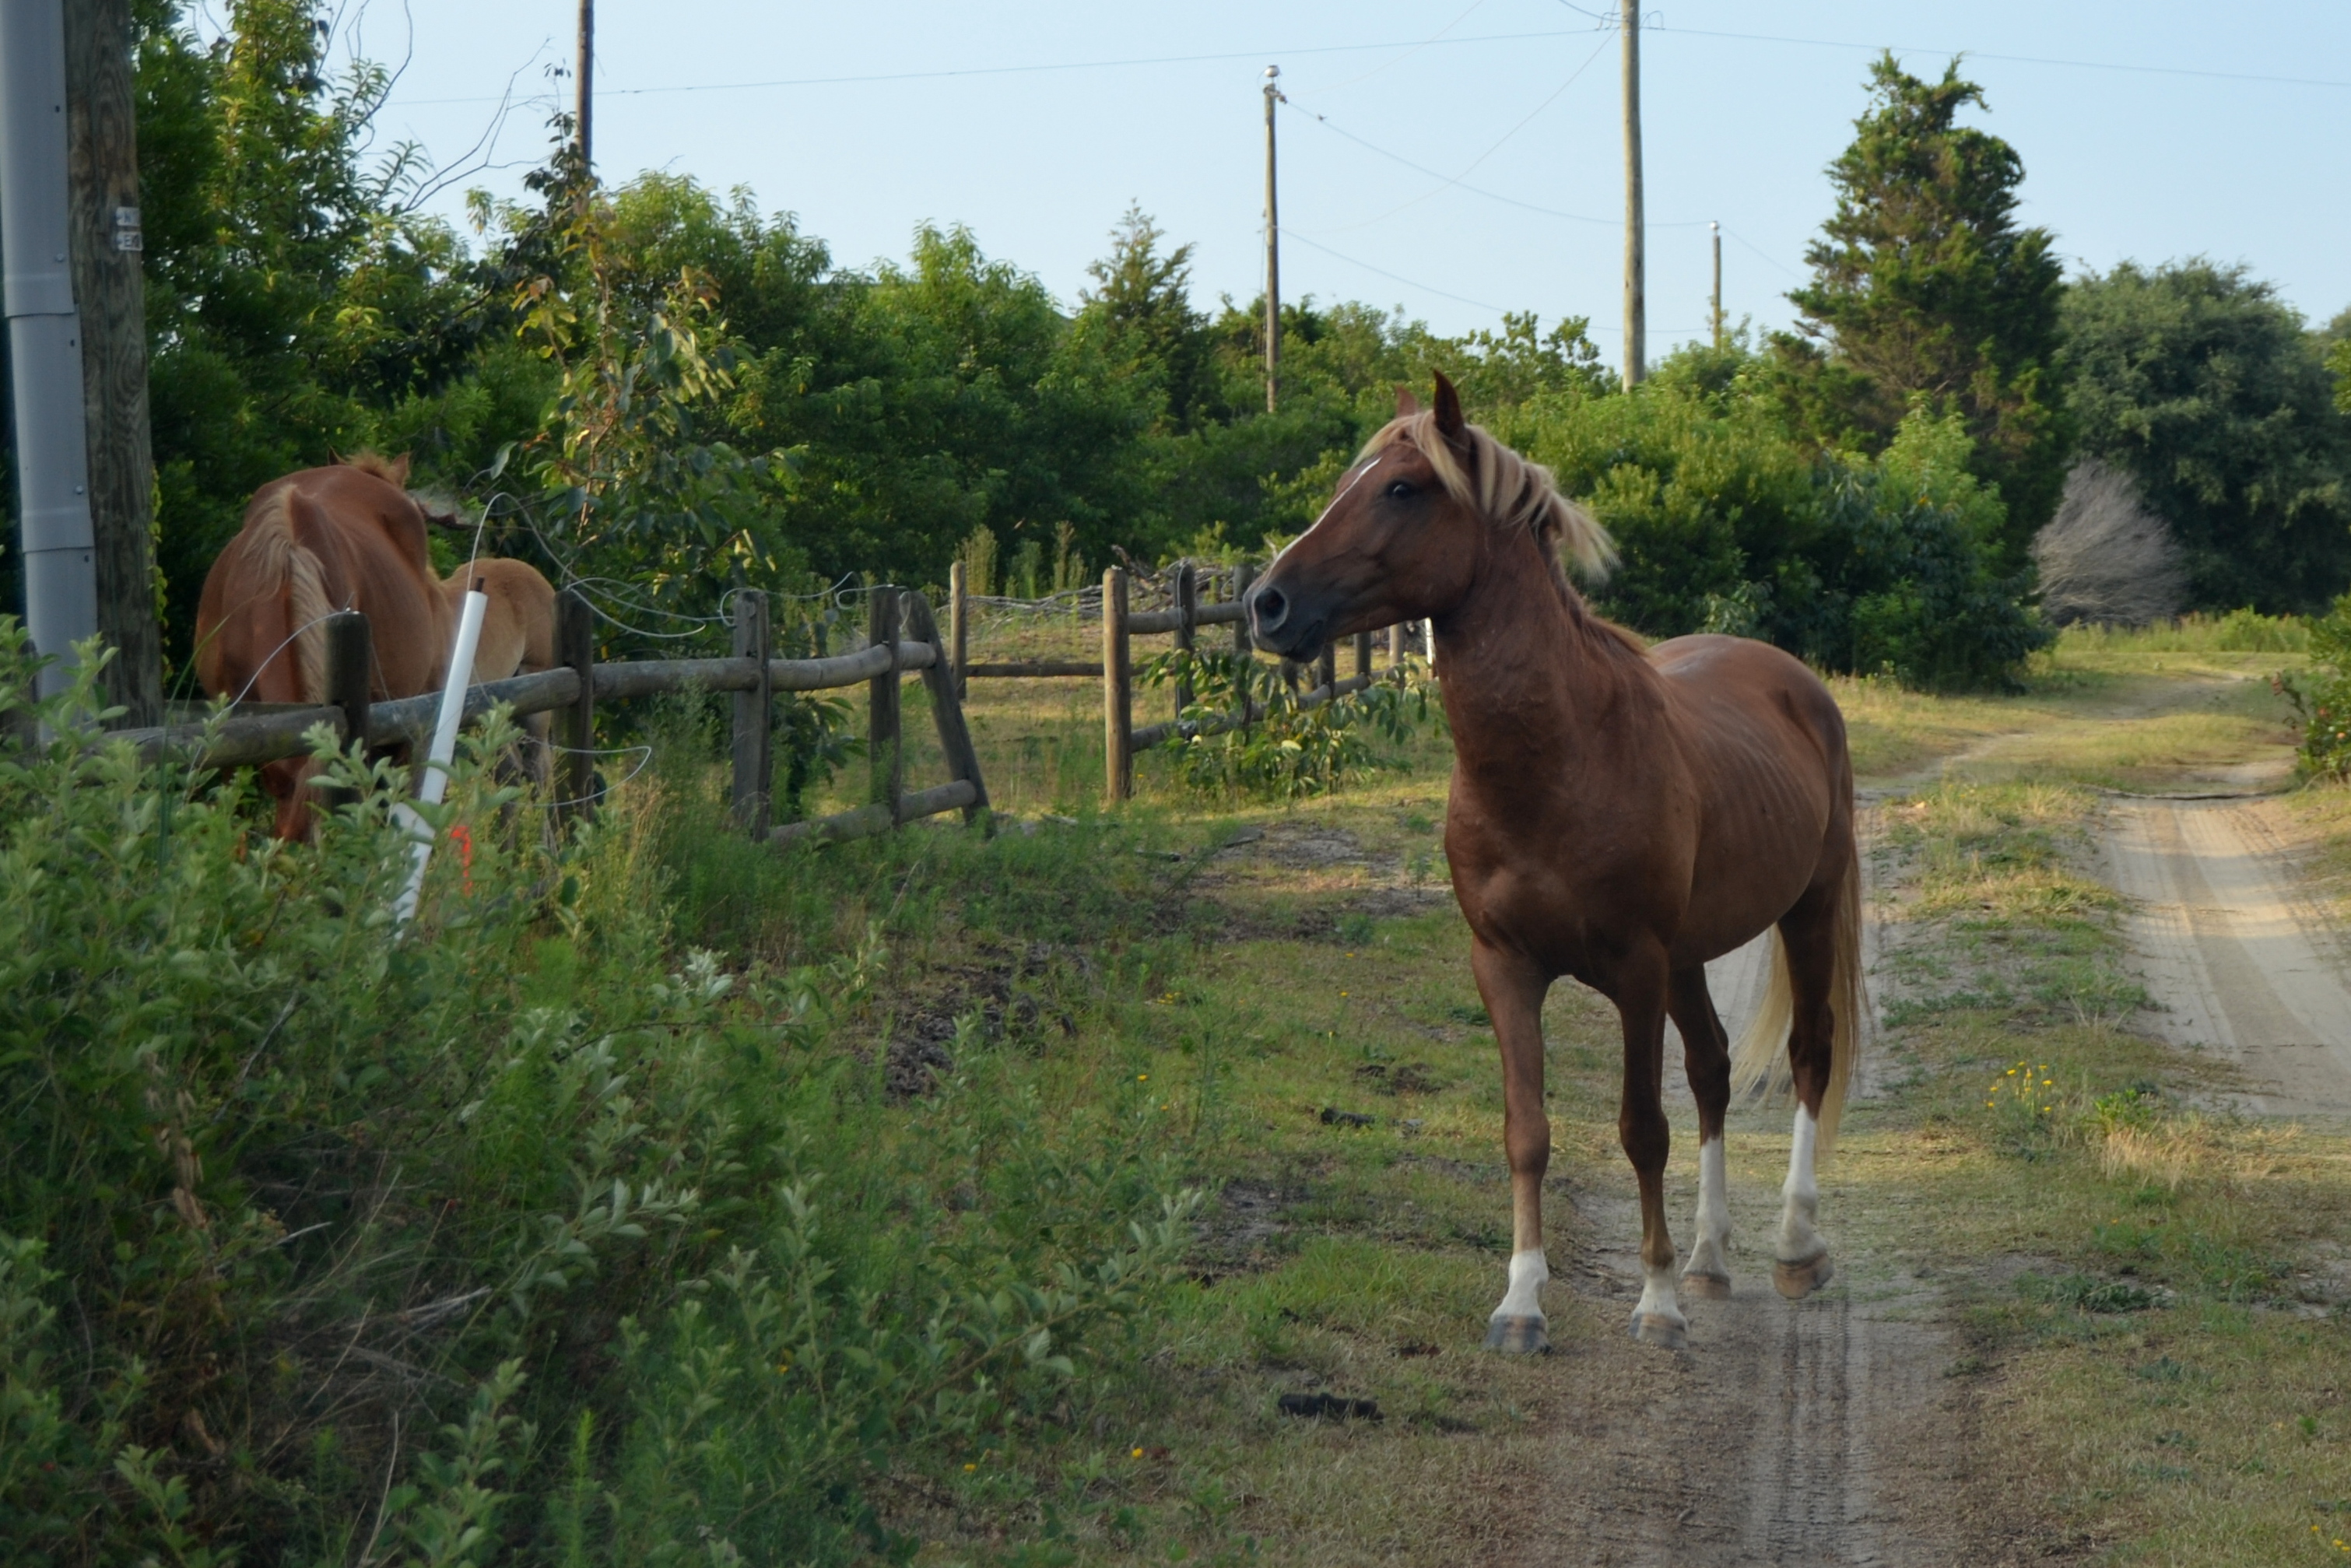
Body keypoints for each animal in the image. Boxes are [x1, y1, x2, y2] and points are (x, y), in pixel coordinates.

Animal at [1247, 373, 1862, 1353]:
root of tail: (1796, 683)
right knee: (1714, 1071)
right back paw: (1708, 1257)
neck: (1561, 760)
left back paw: (1795, 1247)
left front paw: (1655, 1304)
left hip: (1805, 908)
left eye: (1402, 489)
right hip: (1692, 954)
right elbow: (1527, 1131)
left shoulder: (1637, 969)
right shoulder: (1506, 965)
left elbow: (1641, 1127)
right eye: (1354, 481)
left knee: (1808, 1054)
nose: (1265, 604)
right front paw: (1522, 1302)